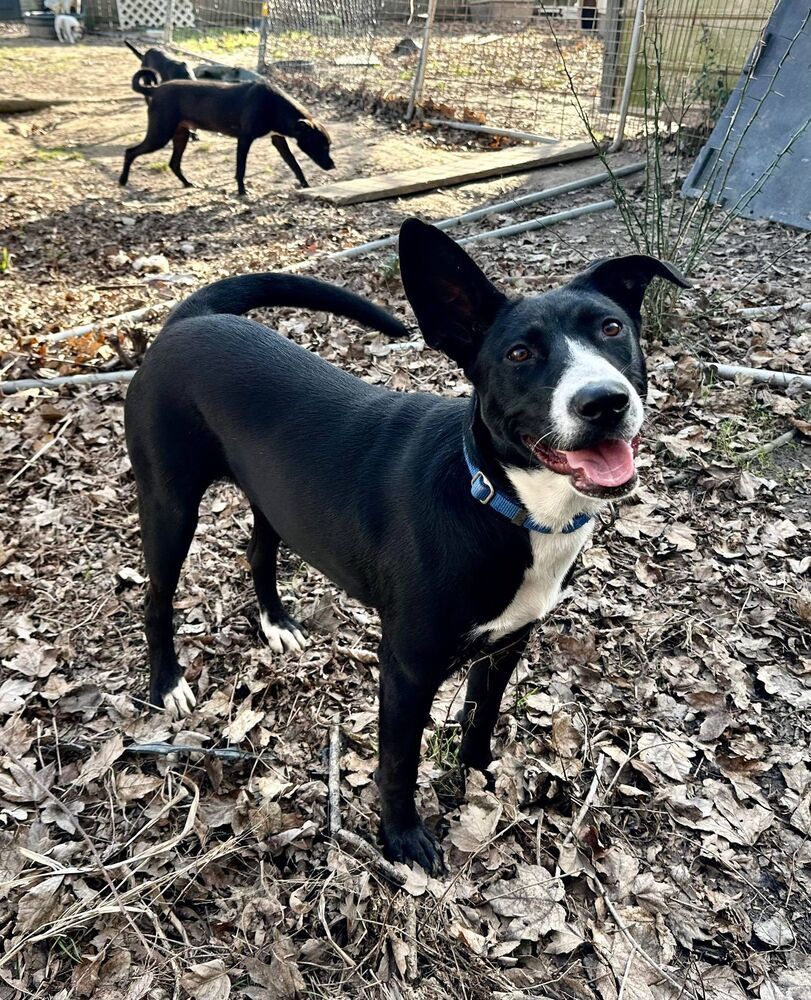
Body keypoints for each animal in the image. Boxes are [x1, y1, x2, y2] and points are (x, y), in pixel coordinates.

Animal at [119, 77, 334, 194]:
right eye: (322, 145)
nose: (333, 166)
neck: (274, 106)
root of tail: (156, 89)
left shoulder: (278, 140)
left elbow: (295, 165)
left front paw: (306, 185)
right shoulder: (245, 139)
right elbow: (241, 169)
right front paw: (242, 192)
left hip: (181, 135)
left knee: (174, 163)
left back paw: (187, 183)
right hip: (160, 134)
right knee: (130, 152)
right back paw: (122, 181)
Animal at [123, 219, 688, 868]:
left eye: (612, 329)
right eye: (519, 353)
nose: (604, 401)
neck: (499, 499)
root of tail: (191, 320)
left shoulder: (508, 642)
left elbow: (481, 716)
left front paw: (479, 775)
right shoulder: (407, 670)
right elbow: (399, 761)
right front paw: (401, 838)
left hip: (272, 497)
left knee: (259, 551)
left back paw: (276, 623)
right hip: (170, 505)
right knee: (156, 597)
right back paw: (167, 684)